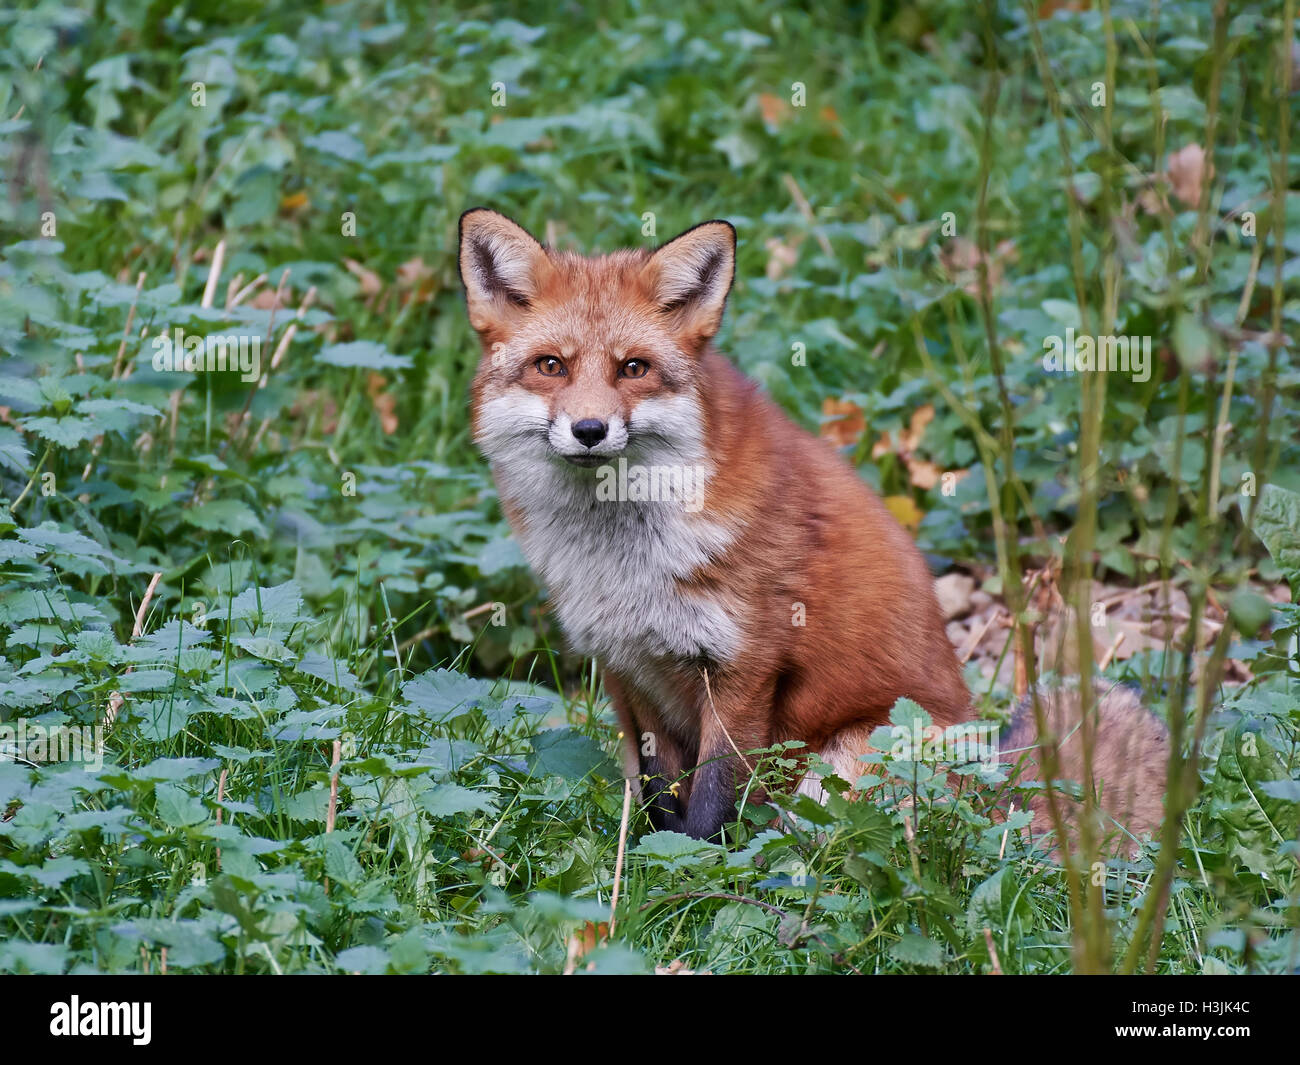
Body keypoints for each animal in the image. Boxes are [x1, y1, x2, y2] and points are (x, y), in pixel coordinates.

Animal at [458, 207, 1168, 854]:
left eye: (633, 369)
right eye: (551, 366)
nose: (589, 430)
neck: (625, 560)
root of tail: (1000, 802)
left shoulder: (744, 664)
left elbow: (716, 797)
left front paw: (697, 876)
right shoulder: (628, 670)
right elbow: (659, 794)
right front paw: (650, 859)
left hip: (852, 761)